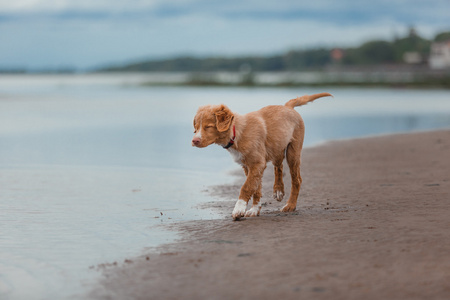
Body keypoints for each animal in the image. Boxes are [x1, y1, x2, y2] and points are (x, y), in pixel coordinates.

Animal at [192, 92, 332, 220]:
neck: (236, 133)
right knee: (278, 167)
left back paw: (290, 205)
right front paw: (255, 209)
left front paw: (238, 209)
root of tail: (288, 107)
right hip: (277, 146)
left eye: (208, 127)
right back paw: (278, 190)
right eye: (196, 127)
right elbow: (256, 188)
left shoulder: (257, 163)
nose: (194, 141)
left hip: (293, 151)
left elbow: (247, 187)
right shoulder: (249, 165)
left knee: (297, 180)